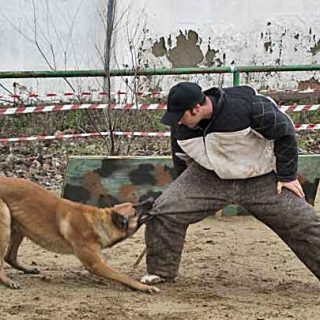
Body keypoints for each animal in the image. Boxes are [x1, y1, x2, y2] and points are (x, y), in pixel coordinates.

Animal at [0, 176, 159, 294]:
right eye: (135, 209)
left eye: (136, 204)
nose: (152, 199)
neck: (100, 222)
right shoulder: (96, 264)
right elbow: (124, 277)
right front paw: (145, 287)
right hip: (5, 223)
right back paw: (8, 281)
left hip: (19, 227)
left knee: (9, 257)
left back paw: (27, 269)